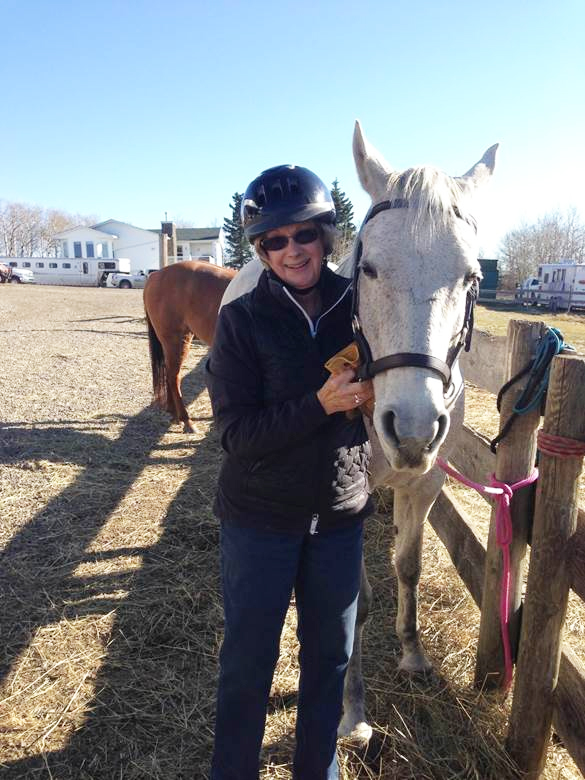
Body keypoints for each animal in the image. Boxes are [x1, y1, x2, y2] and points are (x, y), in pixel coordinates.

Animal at [221, 120, 496, 736]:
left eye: (472, 277)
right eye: (368, 270)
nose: (414, 429)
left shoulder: (425, 483)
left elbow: (408, 567)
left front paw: (414, 655)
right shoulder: (350, 500)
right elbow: (353, 603)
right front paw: (353, 710)